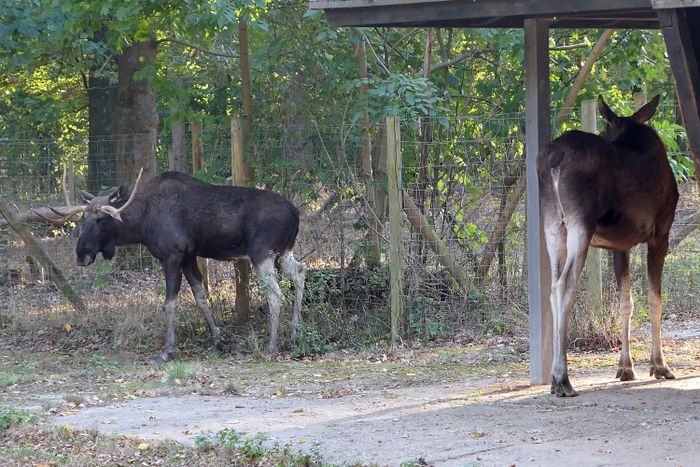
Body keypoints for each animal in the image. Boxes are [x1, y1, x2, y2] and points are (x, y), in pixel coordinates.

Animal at [536, 96, 680, 398]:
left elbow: (626, 302)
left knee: (552, 286)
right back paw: (562, 378)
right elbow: (655, 300)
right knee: (564, 285)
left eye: (605, 128)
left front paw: (626, 367)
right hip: (580, 224)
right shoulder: (660, 235)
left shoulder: (620, 245)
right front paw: (659, 365)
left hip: (553, 224)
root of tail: (554, 160)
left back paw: (555, 378)